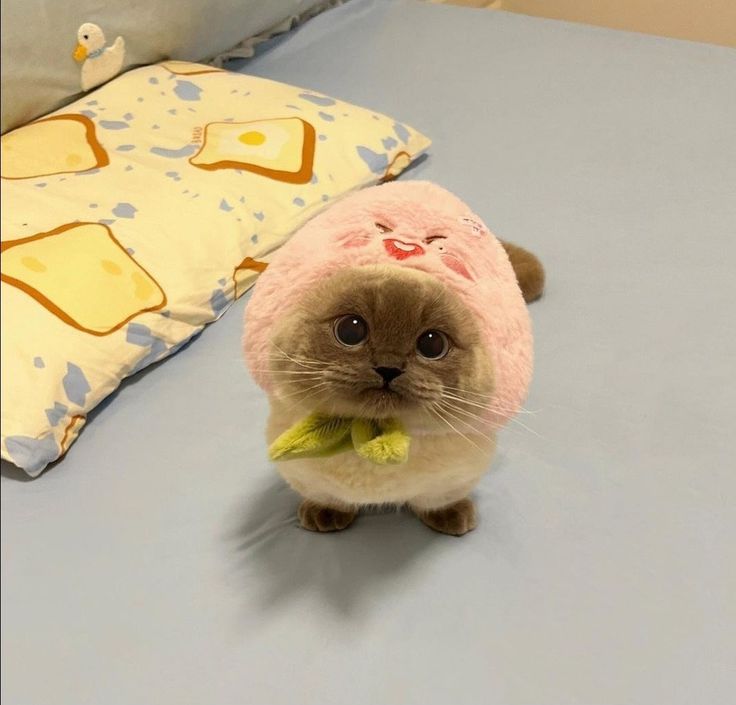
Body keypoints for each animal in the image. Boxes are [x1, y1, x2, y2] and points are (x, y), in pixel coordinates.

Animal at [244, 180, 544, 532]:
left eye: (432, 345)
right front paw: (325, 516)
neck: (373, 435)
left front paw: (451, 518)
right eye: (350, 331)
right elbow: (329, 498)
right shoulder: (308, 477)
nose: (388, 368)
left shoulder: (452, 481)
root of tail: (423, 185)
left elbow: (438, 502)